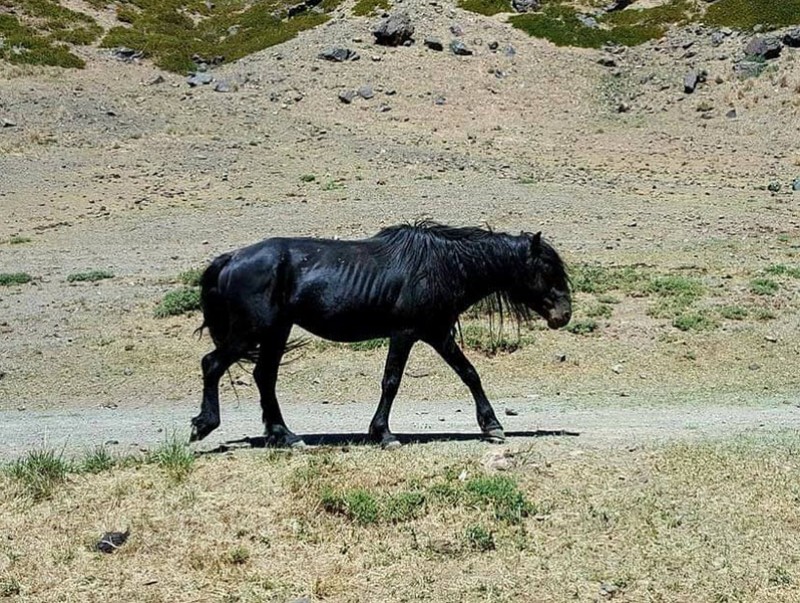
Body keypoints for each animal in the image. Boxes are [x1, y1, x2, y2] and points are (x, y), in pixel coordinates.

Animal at [191, 222, 572, 448]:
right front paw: (384, 434)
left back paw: (284, 436)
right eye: (546, 269)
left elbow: (469, 374)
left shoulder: (437, 333)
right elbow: (391, 381)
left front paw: (491, 426)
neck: (442, 265)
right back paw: (204, 426)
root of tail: (231, 258)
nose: (564, 315)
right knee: (213, 364)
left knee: (263, 376)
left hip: (276, 332)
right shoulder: (405, 334)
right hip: (252, 331)